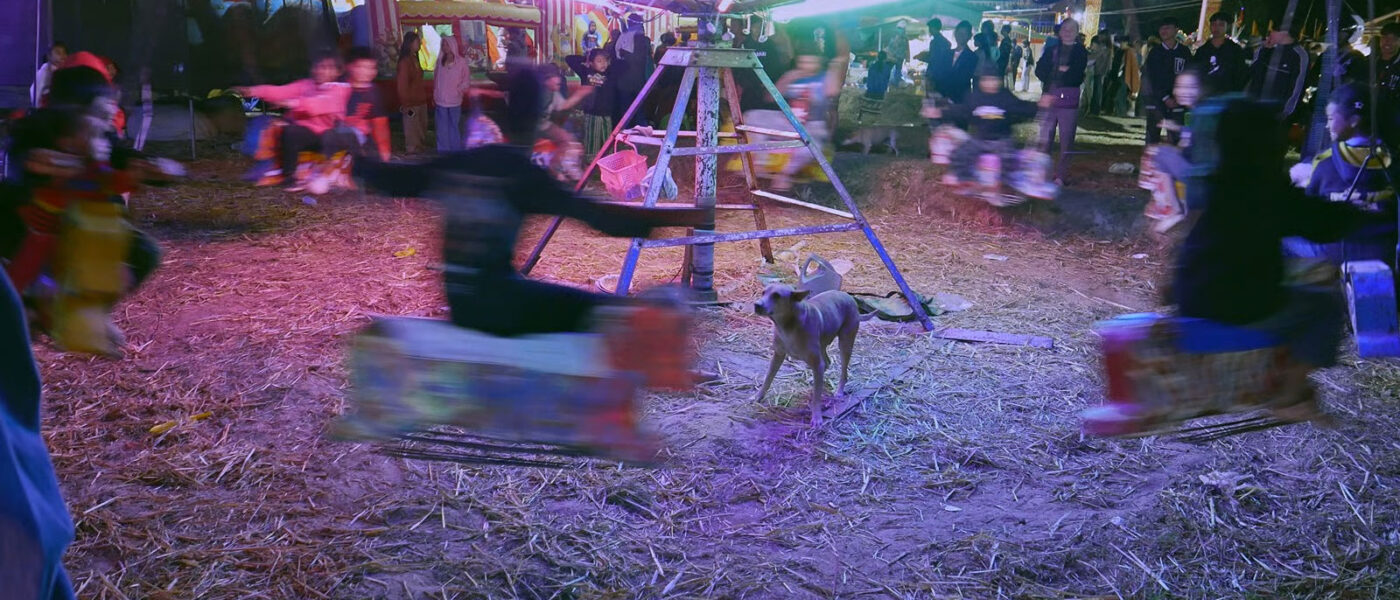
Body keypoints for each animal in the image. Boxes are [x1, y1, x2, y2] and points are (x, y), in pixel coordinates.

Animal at [753, 284, 874, 427]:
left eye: (776, 295)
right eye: (763, 293)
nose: (757, 305)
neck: (788, 325)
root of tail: (849, 296)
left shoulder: (815, 361)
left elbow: (816, 396)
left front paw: (817, 417)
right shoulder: (778, 355)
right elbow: (768, 378)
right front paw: (758, 396)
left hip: (845, 344)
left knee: (843, 372)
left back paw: (839, 391)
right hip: (821, 347)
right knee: (826, 363)